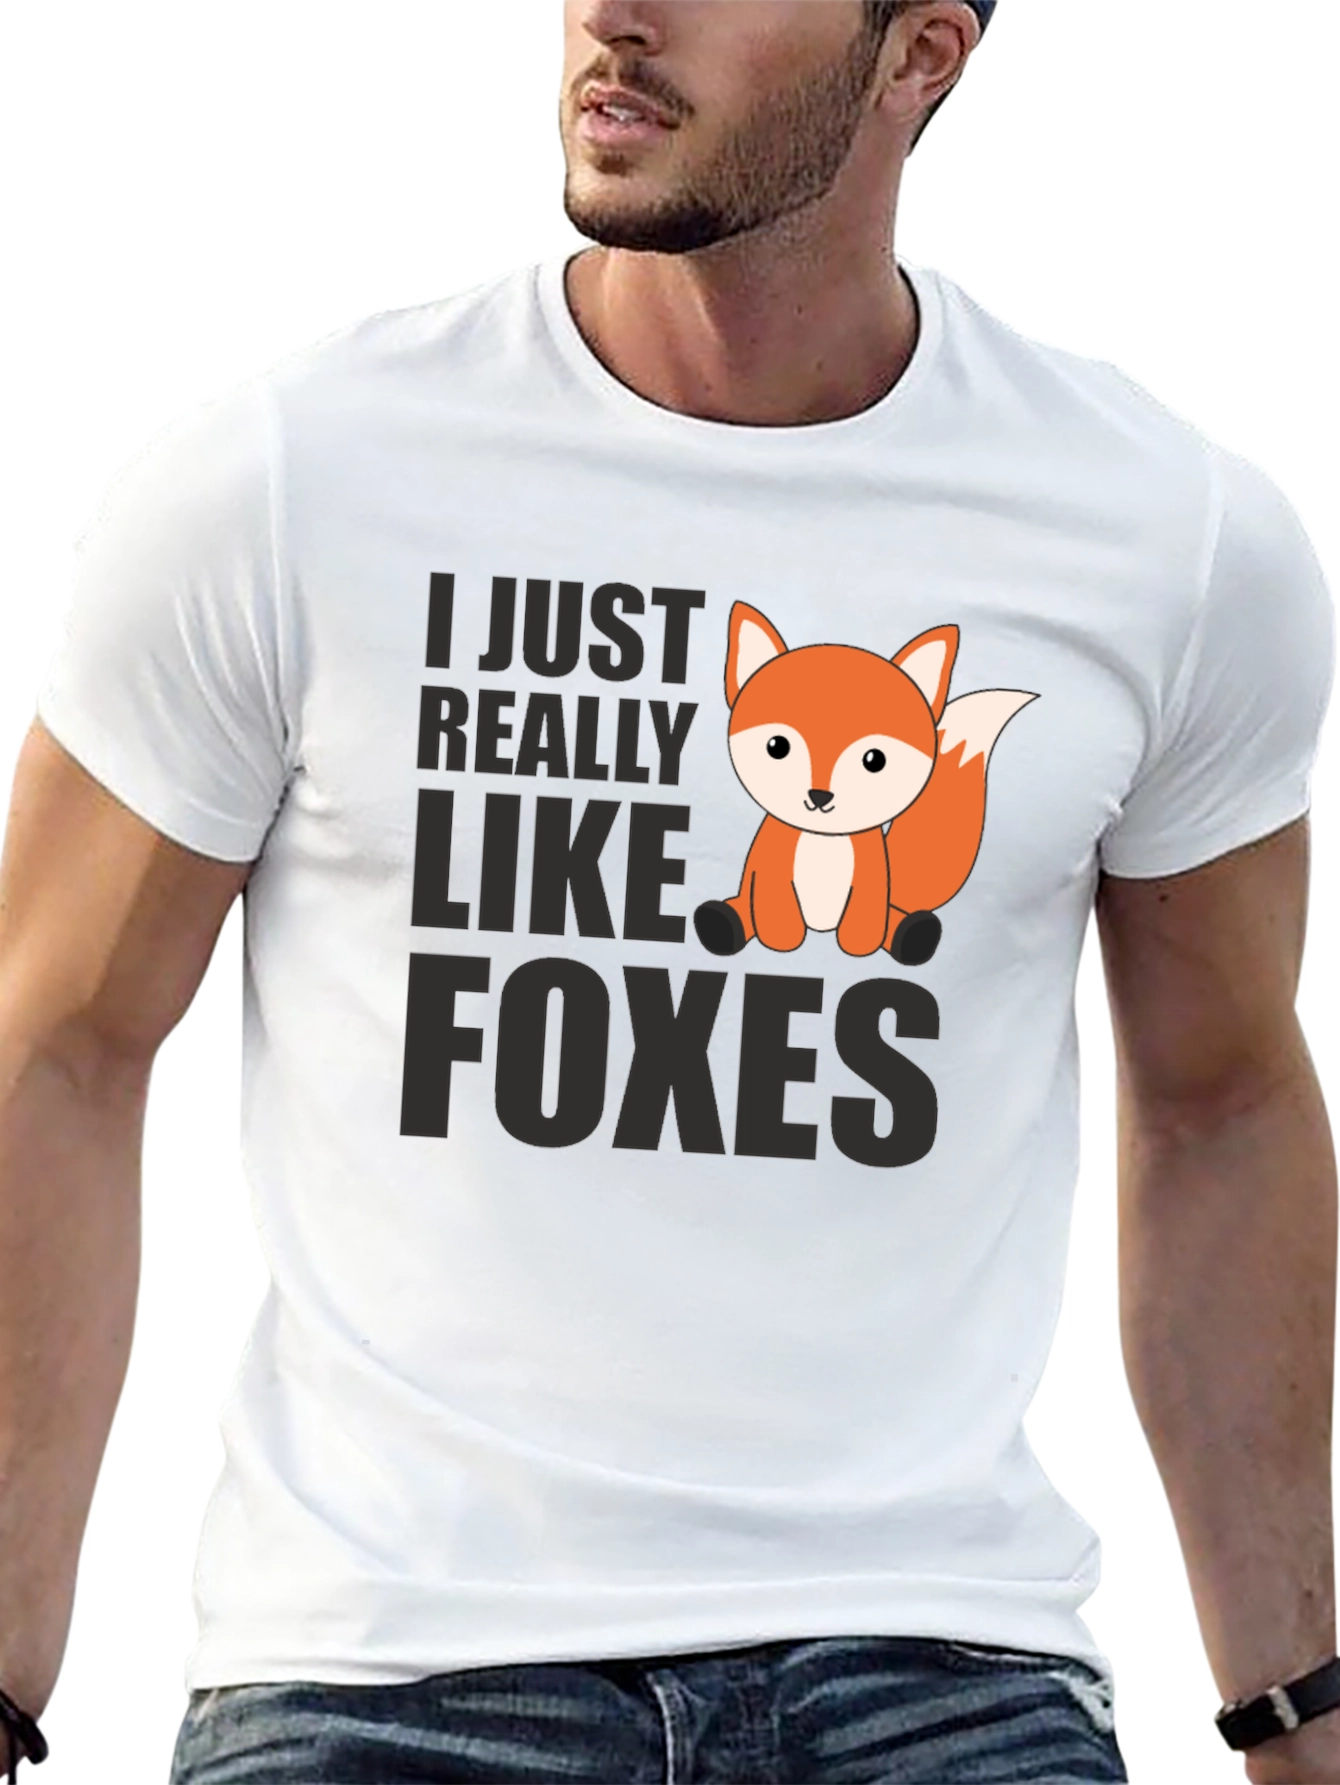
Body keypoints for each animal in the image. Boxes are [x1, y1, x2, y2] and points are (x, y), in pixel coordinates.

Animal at [692, 602, 1039, 965]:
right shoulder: (771, 872)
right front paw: (783, 942)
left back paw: (913, 935)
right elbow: (776, 912)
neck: (824, 840)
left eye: (874, 760)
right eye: (777, 746)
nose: (819, 796)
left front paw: (858, 947)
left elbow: (865, 920)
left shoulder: (871, 881)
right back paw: (720, 923)